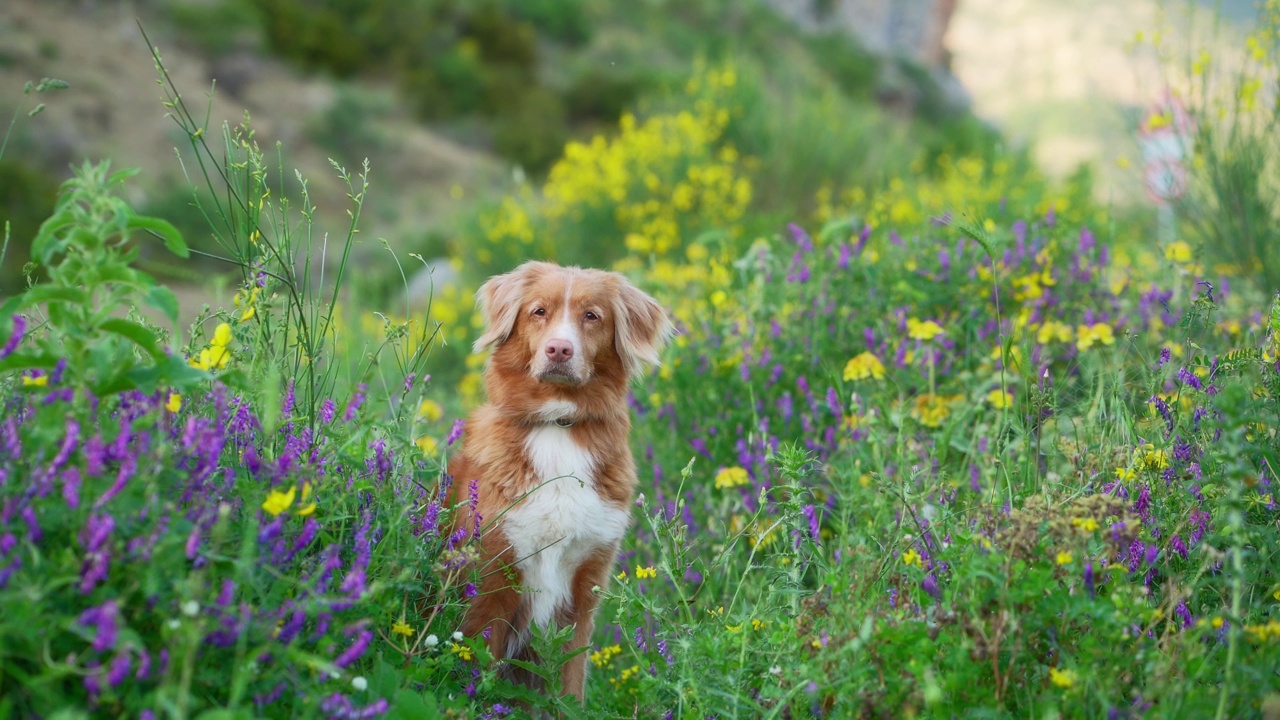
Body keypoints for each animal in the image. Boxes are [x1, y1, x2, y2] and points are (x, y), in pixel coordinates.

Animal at [445, 260, 675, 696]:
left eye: (592, 316)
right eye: (539, 312)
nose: (559, 349)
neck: (558, 424)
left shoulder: (582, 593)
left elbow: (568, 689)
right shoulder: (490, 584)